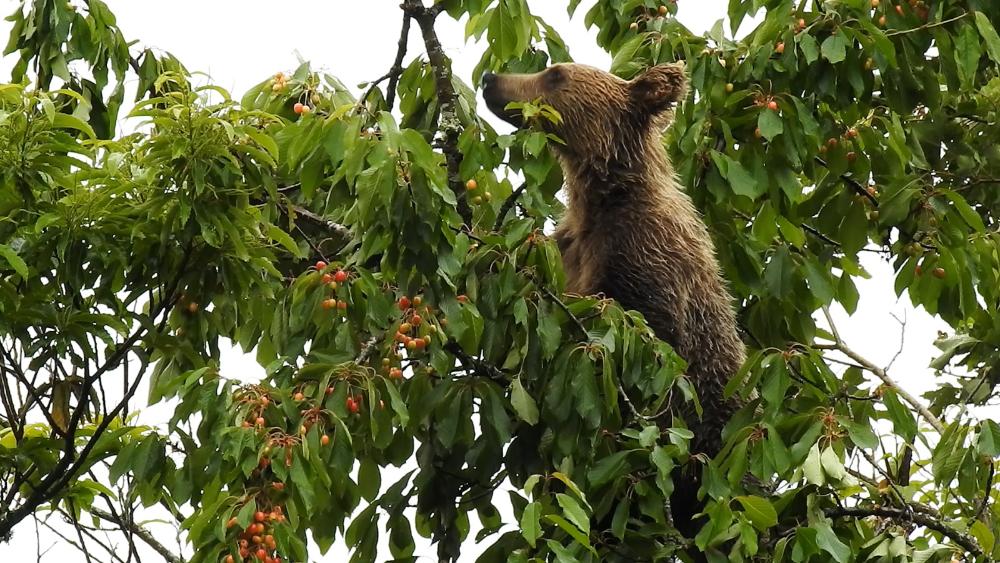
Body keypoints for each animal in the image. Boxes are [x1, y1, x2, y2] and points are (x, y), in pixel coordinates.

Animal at [480, 64, 748, 544]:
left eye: (555, 74)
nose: (491, 79)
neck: (603, 197)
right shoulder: (569, 248)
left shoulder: (643, 256)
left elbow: (646, 334)